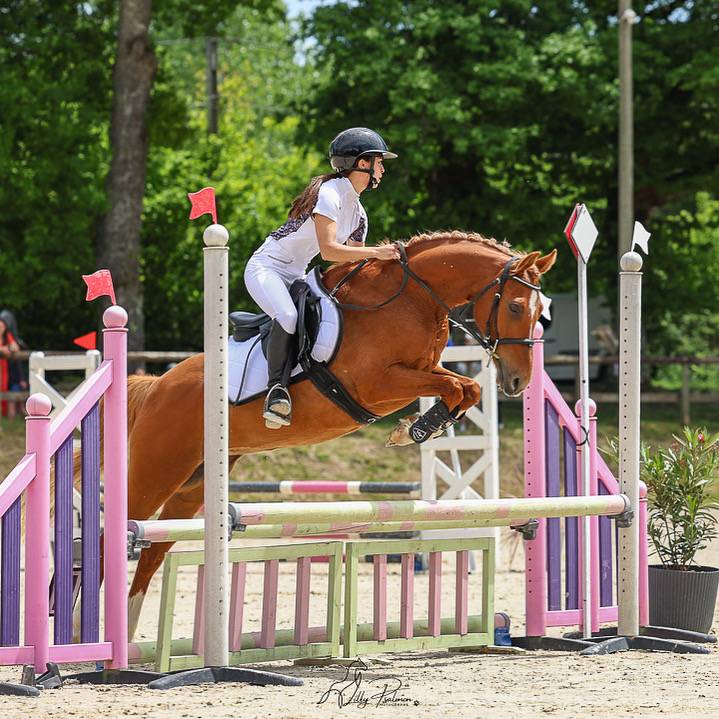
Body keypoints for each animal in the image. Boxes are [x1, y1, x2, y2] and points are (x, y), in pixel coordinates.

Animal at [124, 230, 556, 637]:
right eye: (515, 307)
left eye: (541, 313)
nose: (518, 381)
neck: (413, 297)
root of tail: (157, 385)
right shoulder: (378, 385)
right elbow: (456, 387)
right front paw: (416, 429)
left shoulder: (421, 373)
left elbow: (467, 388)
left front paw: (417, 429)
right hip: (156, 474)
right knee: (124, 531)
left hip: (193, 485)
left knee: (154, 551)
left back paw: (127, 636)